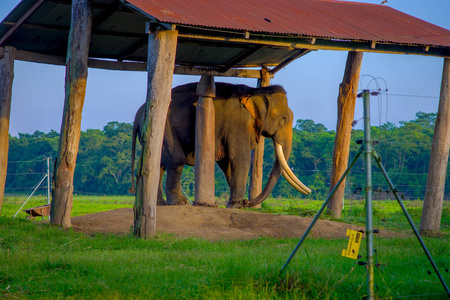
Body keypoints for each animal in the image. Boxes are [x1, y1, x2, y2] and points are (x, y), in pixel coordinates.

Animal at [131, 82, 310, 209]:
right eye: (285, 118)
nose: (247, 202)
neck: (255, 92)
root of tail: (139, 113)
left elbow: (227, 163)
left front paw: (235, 204)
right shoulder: (238, 124)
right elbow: (240, 158)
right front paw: (236, 206)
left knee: (157, 164)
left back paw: (159, 204)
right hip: (163, 128)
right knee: (176, 162)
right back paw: (179, 203)